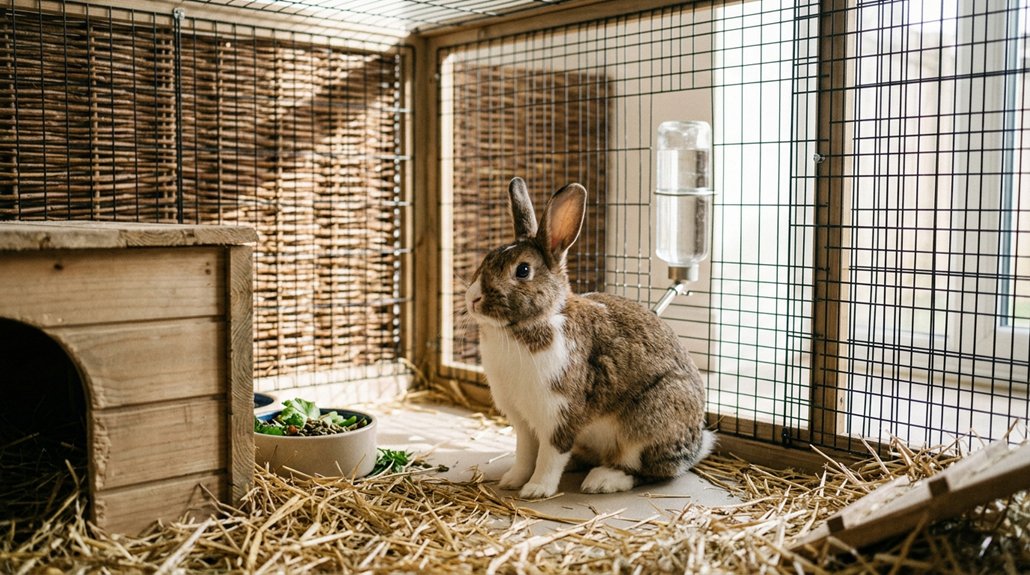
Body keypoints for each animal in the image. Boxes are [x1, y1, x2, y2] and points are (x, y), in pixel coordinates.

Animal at [464, 177, 715, 499]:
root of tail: (696, 448)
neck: (535, 321)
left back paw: (604, 480)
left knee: (648, 471)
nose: (473, 298)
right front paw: (512, 480)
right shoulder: (523, 421)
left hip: (649, 423)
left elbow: (549, 457)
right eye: (487, 258)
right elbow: (525, 453)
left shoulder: (559, 416)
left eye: (522, 270)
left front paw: (537, 489)